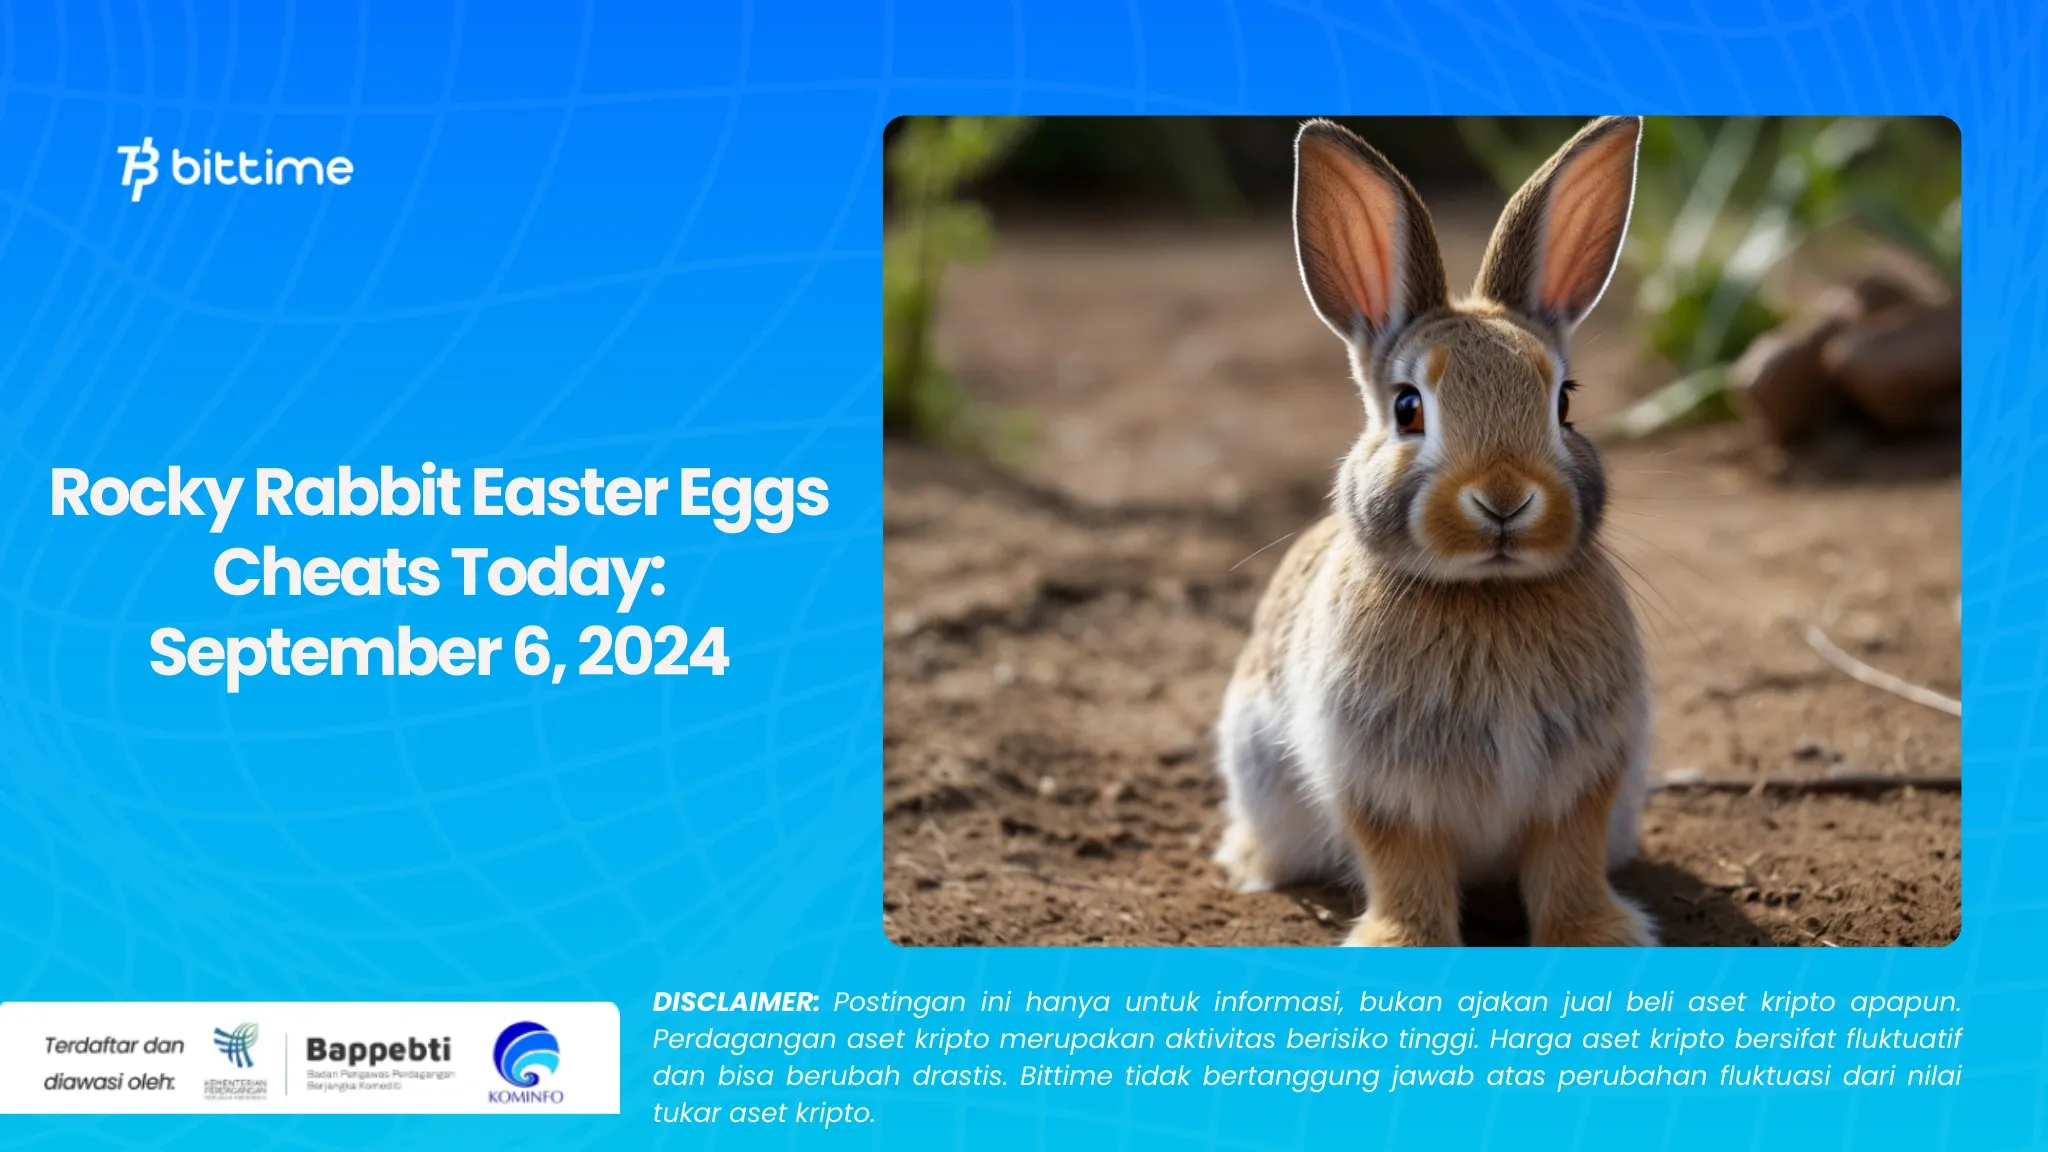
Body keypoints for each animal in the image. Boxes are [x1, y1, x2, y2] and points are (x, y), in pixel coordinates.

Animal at [1212, 116, 1655, 947]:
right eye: (1408, 408)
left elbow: (1568, 861)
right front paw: (1400, 943)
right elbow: (1404, 866)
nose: (1505, 500)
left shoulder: (1584, 778)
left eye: (1564, 402)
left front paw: (1598, 935)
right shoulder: (1383, 789)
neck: (1487, 593)